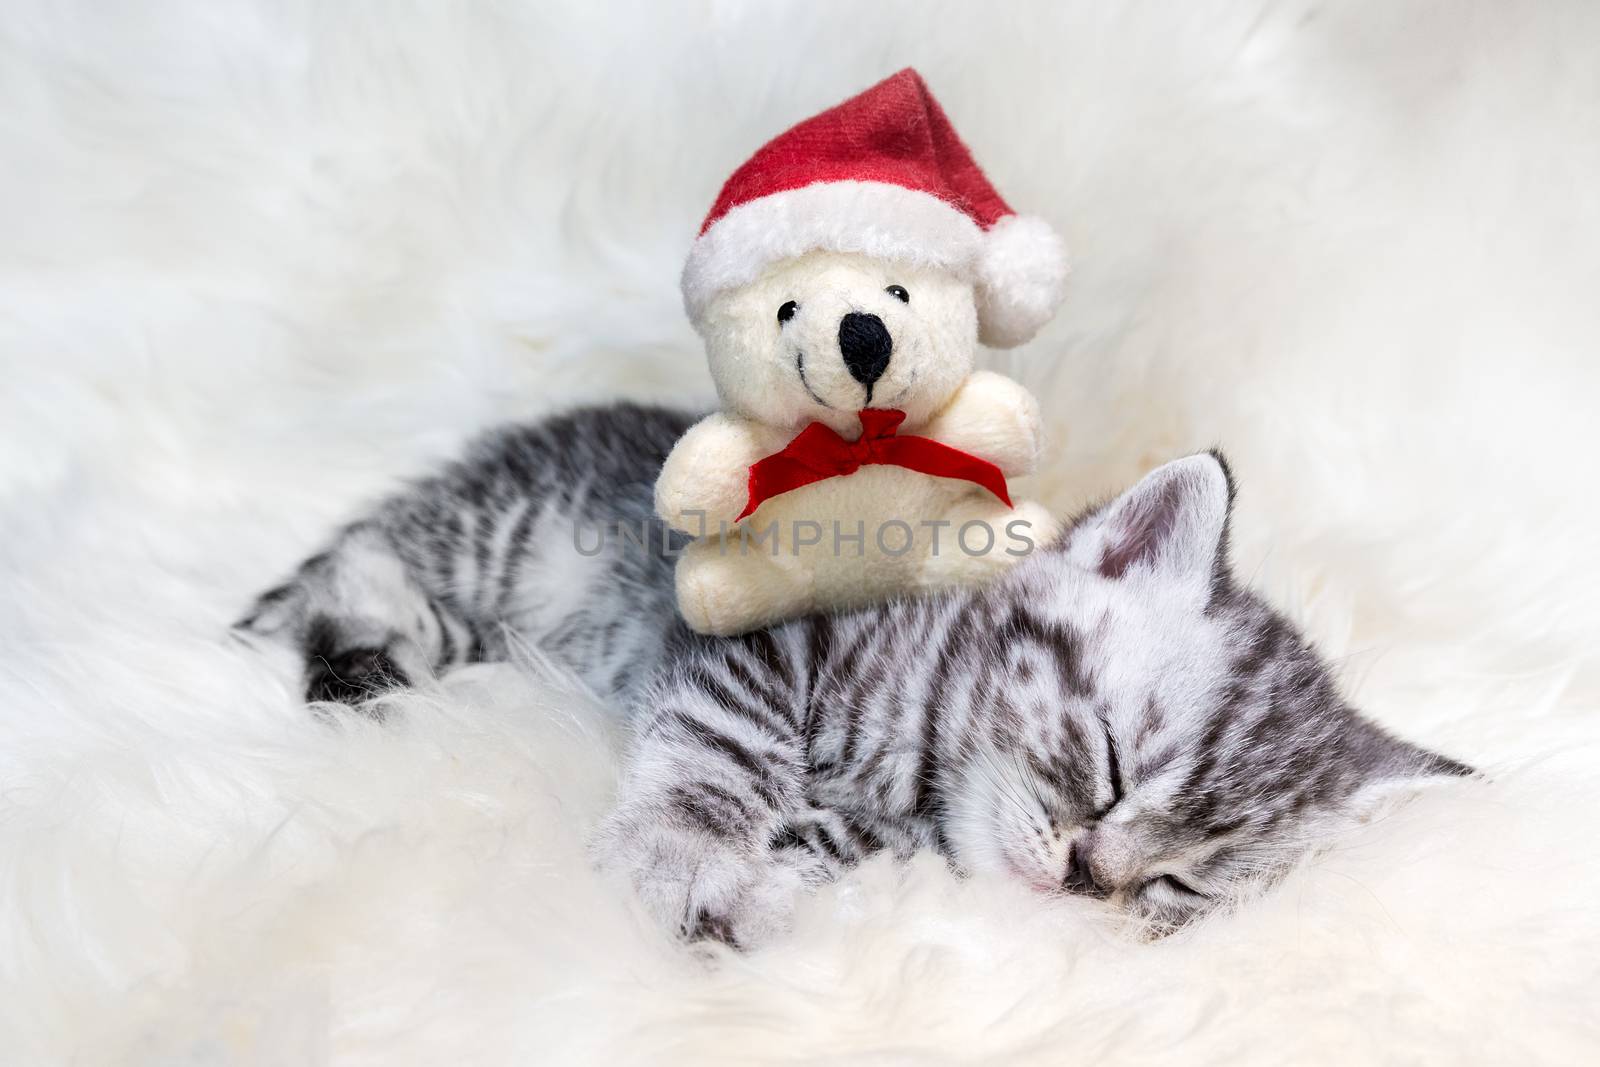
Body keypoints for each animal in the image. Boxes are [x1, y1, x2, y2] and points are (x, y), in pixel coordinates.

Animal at [232, 404, 1465, 947]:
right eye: (1113, 766)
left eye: (1182, 884)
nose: (1088, 879)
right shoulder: (756, 639)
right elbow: (718, 750)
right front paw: (678, 848)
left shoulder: (877, 832)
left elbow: (815, 841)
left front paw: (758, 891)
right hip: (508, 538)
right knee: (359, 565)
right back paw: (338, 643)